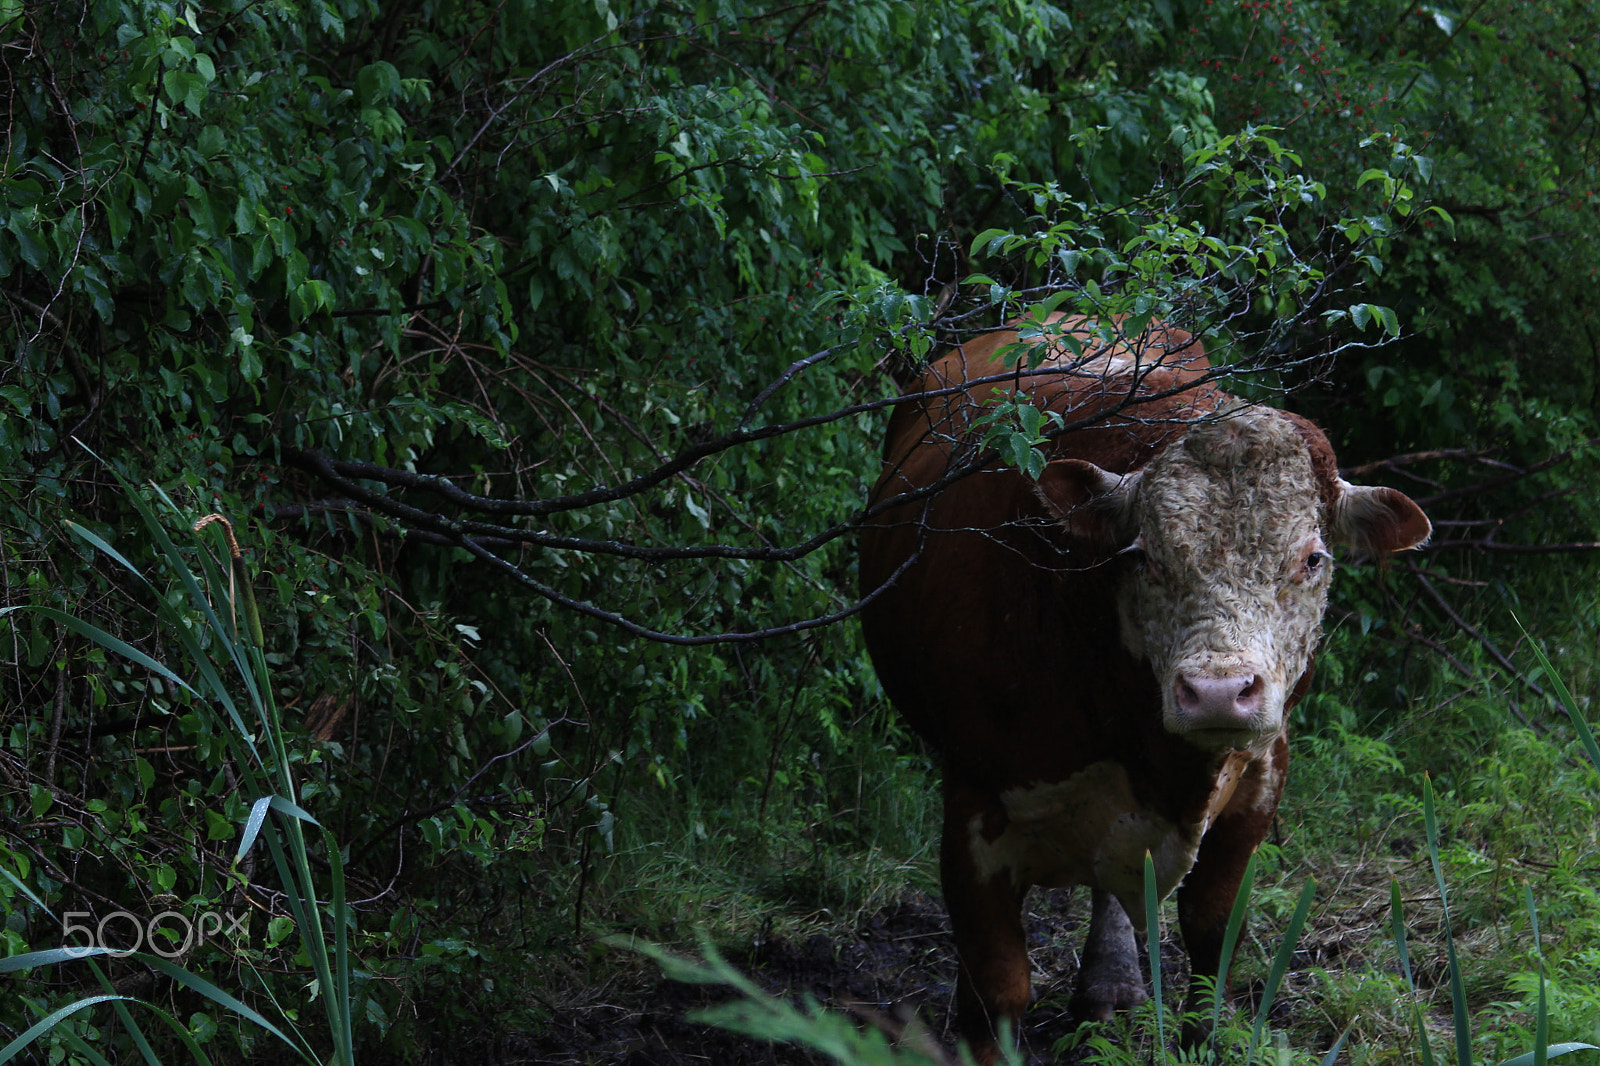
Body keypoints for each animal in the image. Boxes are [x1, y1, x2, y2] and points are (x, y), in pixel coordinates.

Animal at [858, 313, 1430, 1062]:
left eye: (1311, 558)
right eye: (1144, 557)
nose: (1218, 691)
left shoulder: (1260, 781)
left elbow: (1214, 941)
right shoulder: (972, 804)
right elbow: (999, 985)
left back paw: (1110, 981)